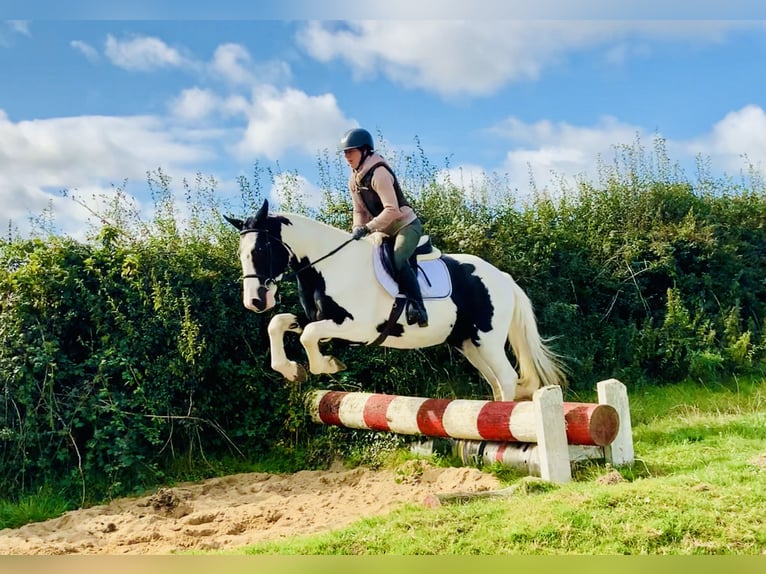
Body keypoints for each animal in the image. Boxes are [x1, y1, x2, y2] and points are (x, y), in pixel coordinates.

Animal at [225, 200, 568, 402]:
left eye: (260, 250)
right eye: (241, 253)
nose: (255, 301)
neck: (330, 266)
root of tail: (503, 278)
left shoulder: (358, 328)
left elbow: (308, 336)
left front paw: (326, 365)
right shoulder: (321, 319)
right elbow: (278, 323)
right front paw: (292, 370)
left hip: (489, 339)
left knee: (507, 379)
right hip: (469, 343)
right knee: (496, 382)